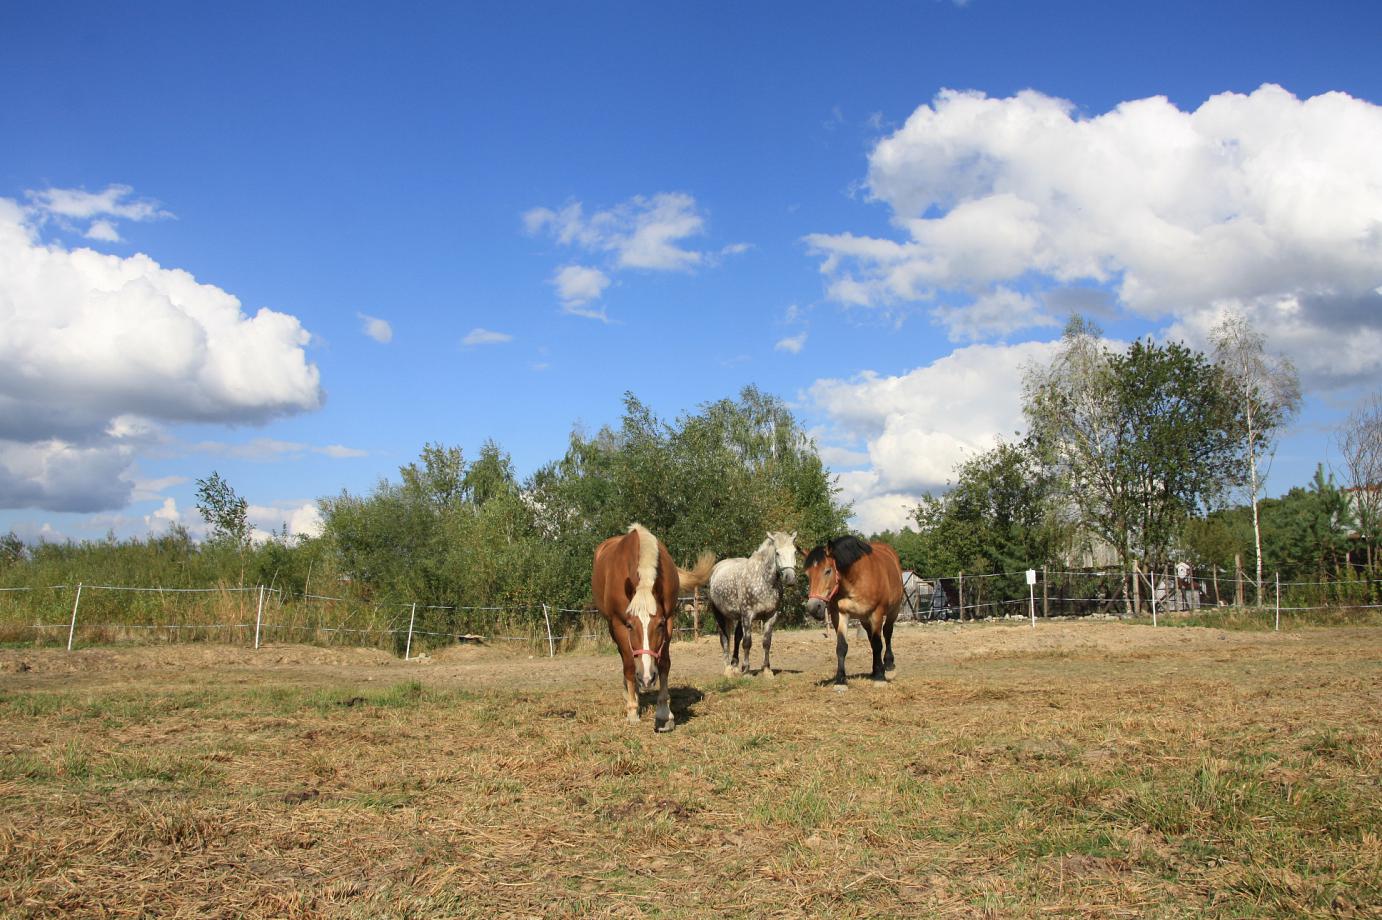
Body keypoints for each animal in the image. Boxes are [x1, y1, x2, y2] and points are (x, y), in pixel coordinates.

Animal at [591, 523, 713, 731]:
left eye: (660, 624)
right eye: (630, 625)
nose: (647, 677)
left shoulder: (669, 618)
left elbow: (664, 663)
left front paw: (664, 714)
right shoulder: (618, 623)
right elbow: (629, 664)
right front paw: (632, 710)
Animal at [705, 531, 798, 678]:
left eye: (795, 552)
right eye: (777, 553)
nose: (790, 578)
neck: (764, 580)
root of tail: (716, 568)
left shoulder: (771, 616)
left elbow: (766, 643)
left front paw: (766, 670)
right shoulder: (748, 616)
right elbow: (747, 642)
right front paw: (746, 670)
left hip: (738, 617)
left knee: (736, 637)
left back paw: (734, 665)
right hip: (719, 613)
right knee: (724, 638)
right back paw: (728, 669)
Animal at [803, 536, 904, 686]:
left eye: (828, 571)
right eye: (807, 574)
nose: (813, 607)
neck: (856, 580)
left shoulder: (877, 614)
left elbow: (878, 643)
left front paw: (880, 677)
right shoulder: (840, 614)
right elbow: (842, 647)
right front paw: (840, 679)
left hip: (893, 611)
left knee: (887, 633)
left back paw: (888, 665)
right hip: (864, 619)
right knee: (871, 639)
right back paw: (875, 669)